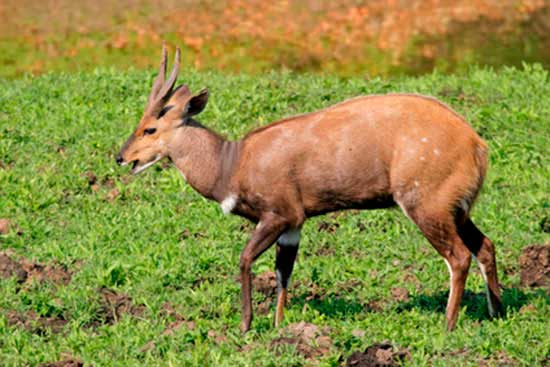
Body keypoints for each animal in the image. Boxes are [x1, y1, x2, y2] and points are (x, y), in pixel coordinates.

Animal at [116, 45, 504, 334]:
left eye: (150, 129)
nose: (121, 157)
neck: (231, 165)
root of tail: (478, 146)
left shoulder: (279, 213)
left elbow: (245, 259)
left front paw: (246, 326)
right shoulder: (295, 223)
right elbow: (283, 272)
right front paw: (279, 327)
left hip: (425, 202)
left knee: (459, 256)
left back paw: (448, 325)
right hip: (457, 207)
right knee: (485, 245)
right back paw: (496, 312)